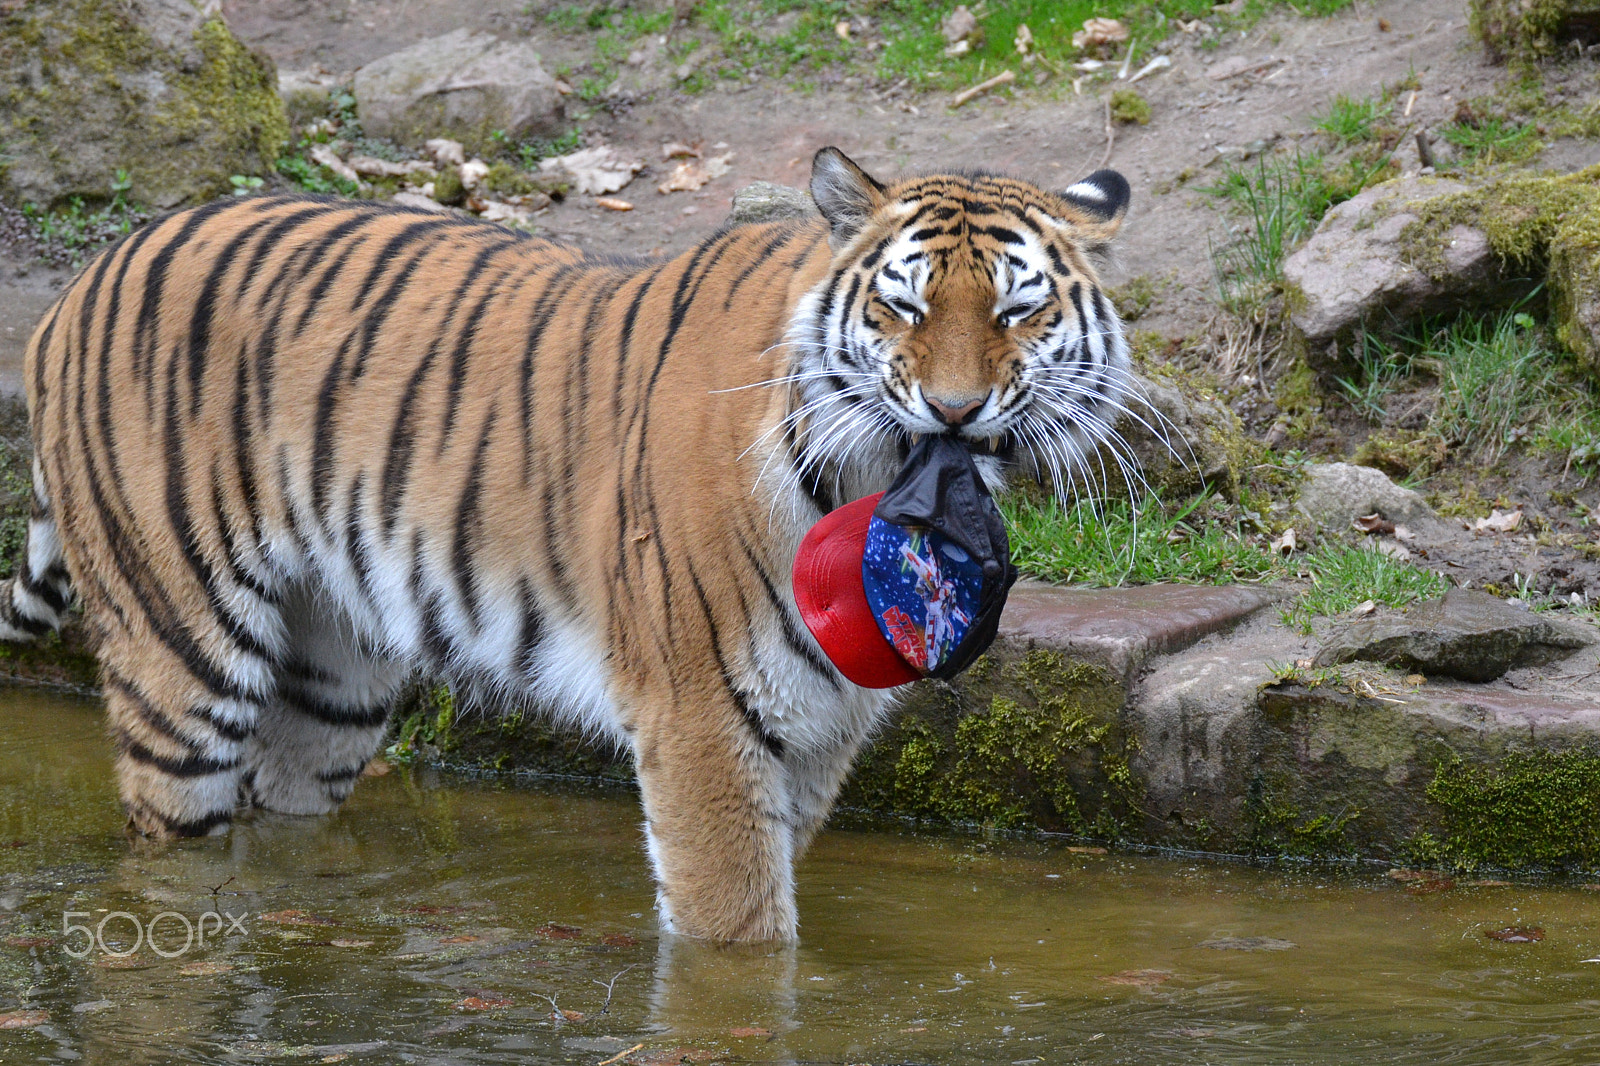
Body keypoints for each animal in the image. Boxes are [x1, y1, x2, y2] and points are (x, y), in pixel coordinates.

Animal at [4, 147, 1131, 942]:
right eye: (902, 305)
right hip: (181, 650)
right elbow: (740, 936)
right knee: (167, 837)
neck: (874, 476)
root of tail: (87, 276)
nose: (955, 410)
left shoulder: (821, 724)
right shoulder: (700, 718)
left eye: (1016, 310)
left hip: (333, 675)